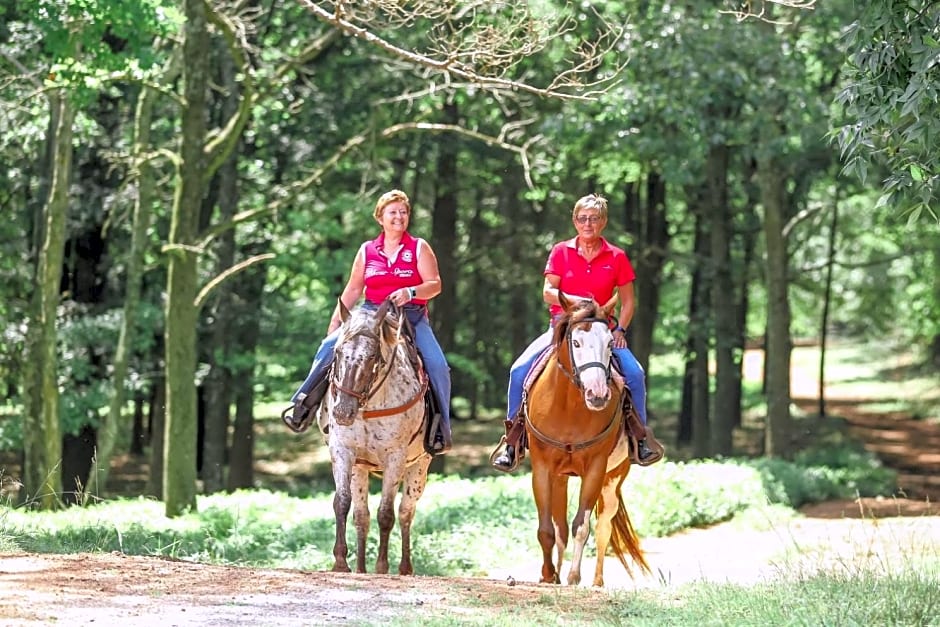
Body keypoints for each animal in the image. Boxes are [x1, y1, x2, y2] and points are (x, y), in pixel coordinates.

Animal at [320, 300, 430, 576]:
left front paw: (381, 566)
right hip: (360, 469)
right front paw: (341, 562)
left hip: (419, 468)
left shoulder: (395, 458)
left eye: (372, 357)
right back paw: (361, 568)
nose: (342, 411)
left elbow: (386, 513)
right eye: (338, 351)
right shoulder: (343, 451)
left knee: (405, 512)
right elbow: (342, 502)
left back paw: (404, 567)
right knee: (362, 516)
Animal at [524, 296, 648, 588]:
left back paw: (597, 581)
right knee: (559, 527)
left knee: (604, 527)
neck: (569, 407)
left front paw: (573, 576)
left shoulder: (595, 468)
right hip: (561, 478)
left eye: (611, 344)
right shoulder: (542, 468)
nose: (598, 394)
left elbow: (582, 525)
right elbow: (547, 529)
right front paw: (548, 575)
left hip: (614, 477)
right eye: (577, 343)